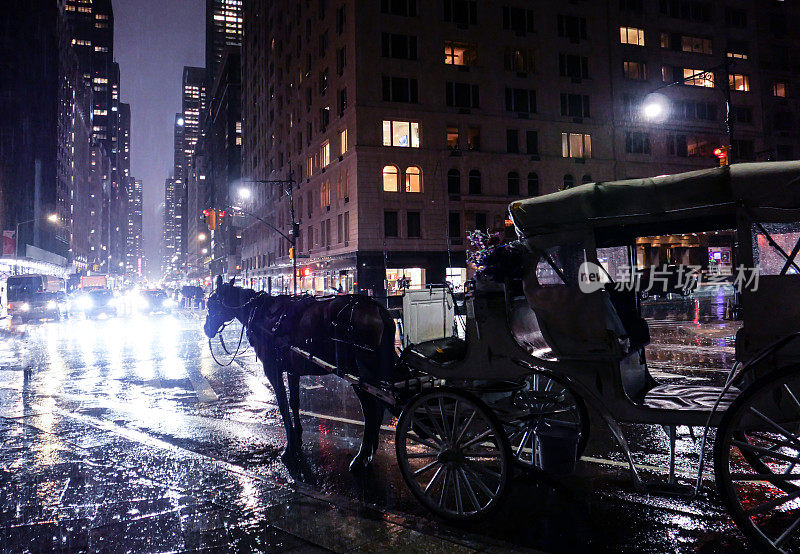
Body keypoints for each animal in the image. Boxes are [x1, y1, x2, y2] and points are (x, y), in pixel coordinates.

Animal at [205, 274, 406, 468]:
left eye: (211, 303)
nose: (206, 329)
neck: (262, 315)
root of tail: (377, 307)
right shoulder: (292, 371)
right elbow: (294, 403)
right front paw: (298, 438)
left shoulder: (272, 369)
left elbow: (283, 405)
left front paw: (289, 446)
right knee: (377, 408)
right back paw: (369, 452)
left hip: (359, 372)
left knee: (372, 409)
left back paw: (362, 455)